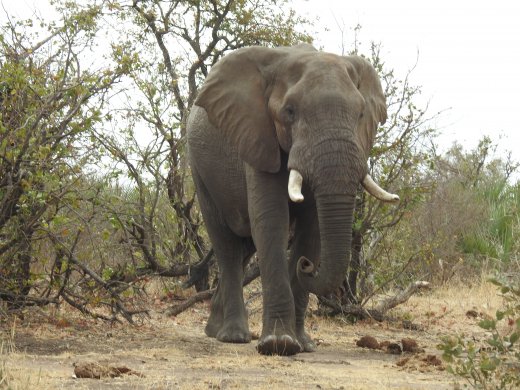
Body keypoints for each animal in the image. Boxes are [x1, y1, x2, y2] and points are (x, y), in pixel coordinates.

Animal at [188, 43, 398, 356]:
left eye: (361, 113)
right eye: (289, 111)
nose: (306, 266)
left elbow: (312, 230)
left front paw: (304, 344)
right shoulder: (258, 136)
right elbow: (271, 220)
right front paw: (279, 344)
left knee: (244, 248)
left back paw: (216, 330)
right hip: (200, 169)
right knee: (226, 244)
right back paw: (233, 336)